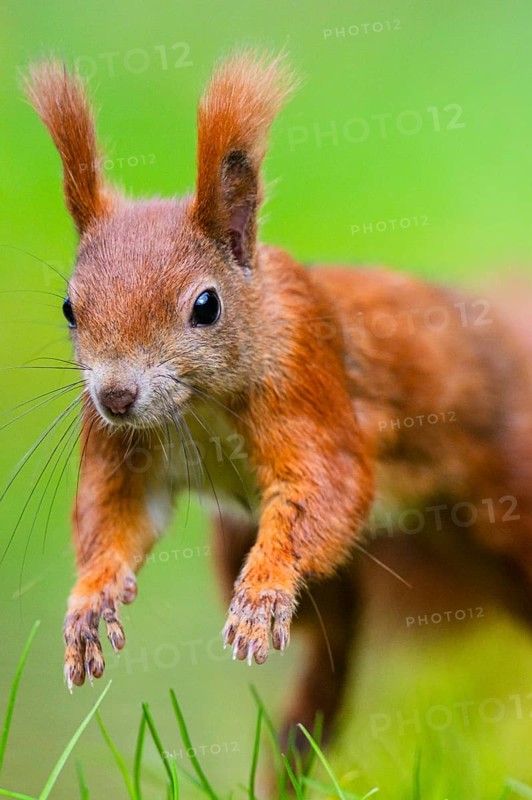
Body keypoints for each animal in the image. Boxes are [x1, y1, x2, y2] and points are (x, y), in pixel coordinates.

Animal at [24, 52, 532, 749]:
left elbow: (325, 487)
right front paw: (90, 597)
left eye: (205, 305)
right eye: (70, 308)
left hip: (507, 498)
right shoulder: (119, 446)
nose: (116, 396)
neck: (198, 406)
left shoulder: (306, 381)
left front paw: (262, 593)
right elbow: (116, 516)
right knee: (330, 657)